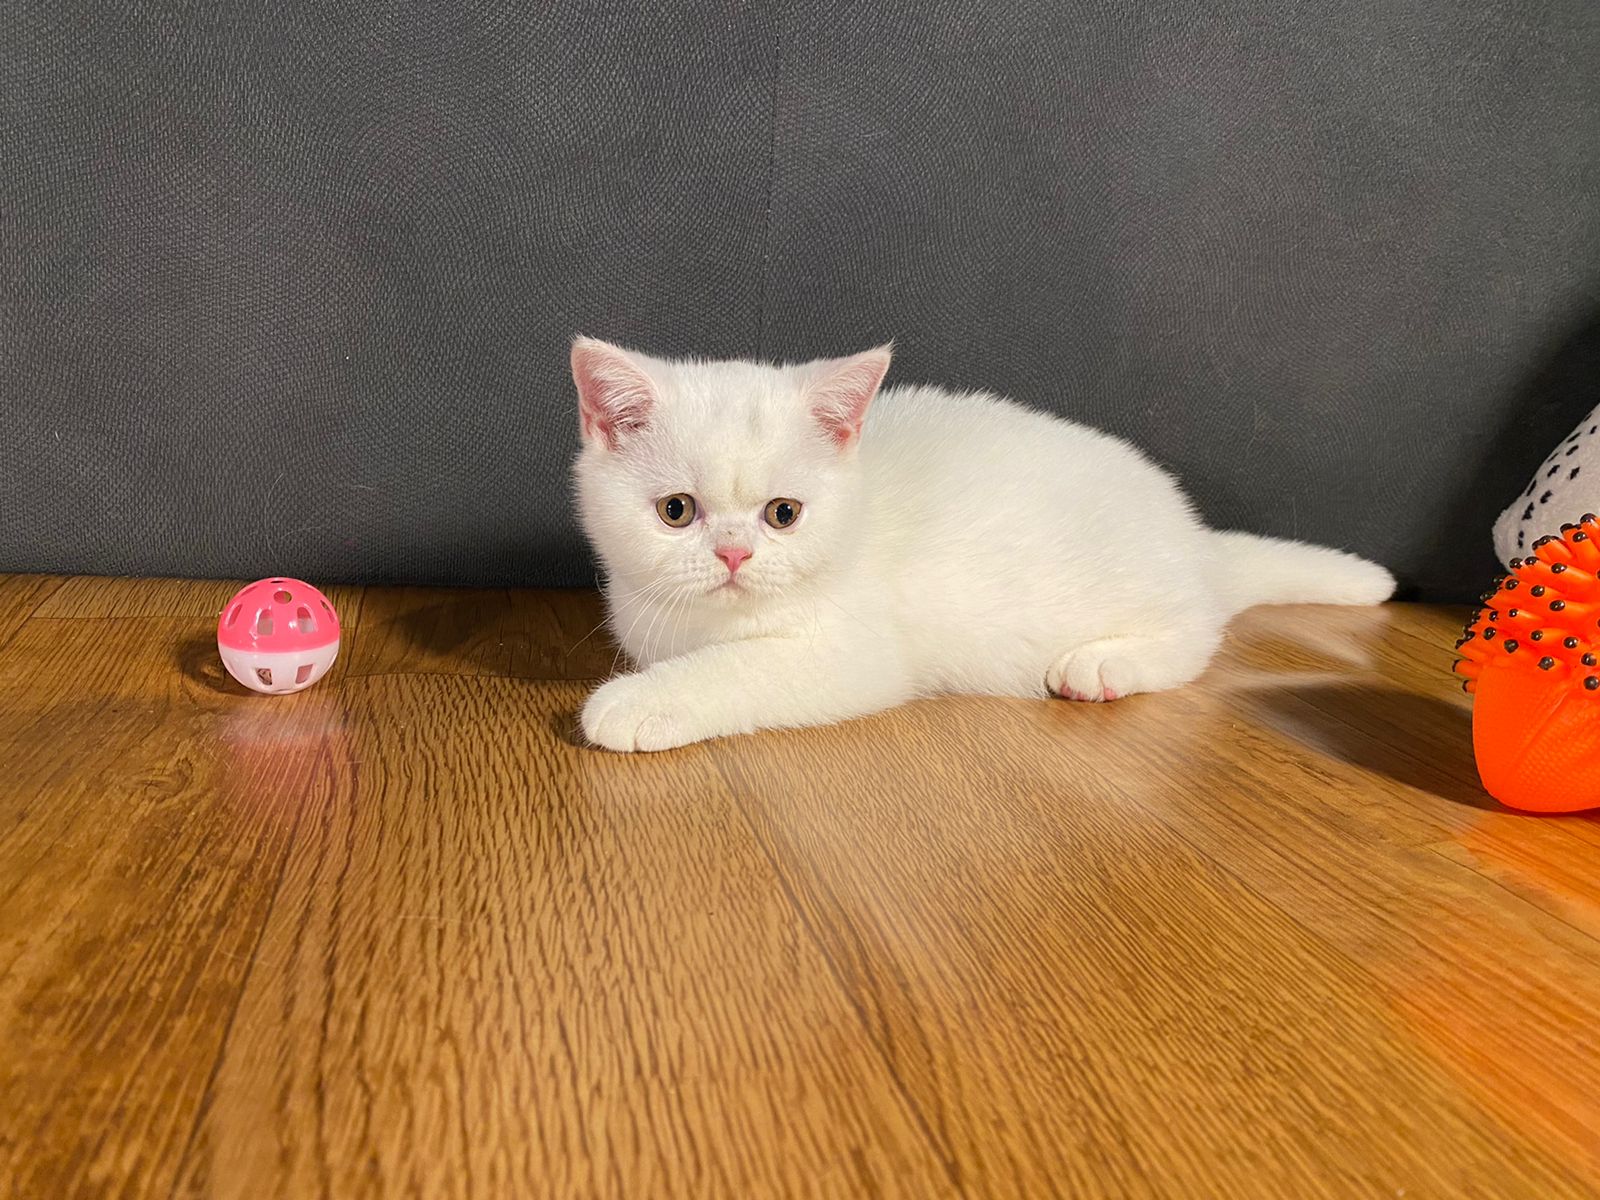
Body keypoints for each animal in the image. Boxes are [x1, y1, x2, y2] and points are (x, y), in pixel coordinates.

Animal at [571, 337, 1394, 752]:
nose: (735, 555)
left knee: (1197, 635)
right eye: (677, 511)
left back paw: (1103, 665)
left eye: (783, 514)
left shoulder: (856, 656)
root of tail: (1192, 534)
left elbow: (738, 670)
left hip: (1143, 591)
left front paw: (640, 702)